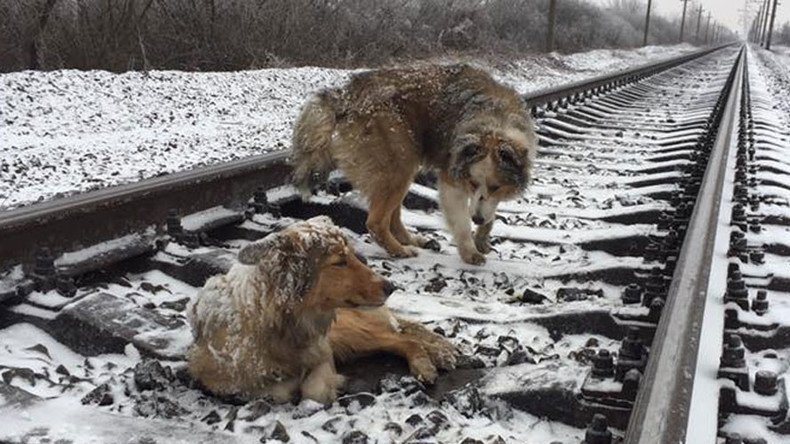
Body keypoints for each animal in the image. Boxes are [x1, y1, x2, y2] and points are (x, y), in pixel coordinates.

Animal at [187, 217, 458, 404]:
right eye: (340, 262)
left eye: (352, 256)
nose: (392, 286)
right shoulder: (216, 378)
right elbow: (274, 391)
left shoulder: (323, 350)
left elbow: (313, 391)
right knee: (401, 336)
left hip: (349, 332)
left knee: (404, 339)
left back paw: (427, 362)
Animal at [290, 62, 540, 264]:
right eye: (471, 183)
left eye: (496, 186)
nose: (476, 218)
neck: (495, 122)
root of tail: (346, 94)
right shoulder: (451, 178)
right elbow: (461, 222)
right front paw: (470, 250)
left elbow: (489, 211)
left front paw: (482, 237)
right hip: (399, 162)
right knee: (376, 222)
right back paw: (399, 250)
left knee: (393, 217)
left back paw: (413, 240)